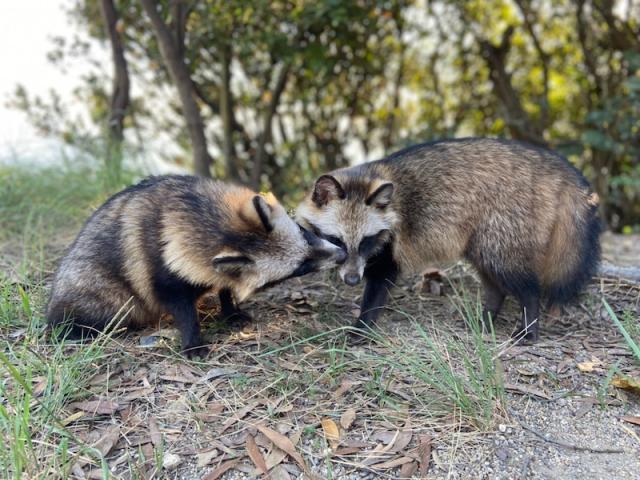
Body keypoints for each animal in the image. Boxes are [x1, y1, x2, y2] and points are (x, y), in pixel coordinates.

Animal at [47, 174, 348, 354]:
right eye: (301, 267)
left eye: (304, 233)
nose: (343, 254)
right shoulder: (159, 268)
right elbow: (180, 305)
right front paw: (192, 338)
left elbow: (225, 283)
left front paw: (229, 307)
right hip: (101, 293)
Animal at [298, 138, 604, 342]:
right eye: (337, 239)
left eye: (364, 241)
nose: (351, 280)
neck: (365, 177)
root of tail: (551, 165)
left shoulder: (389, 246)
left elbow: (379, 284)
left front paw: (363, 324)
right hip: (481, 242)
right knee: (494, 282)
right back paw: (487, 316)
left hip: (504, 233)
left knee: (520, 282)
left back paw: (529, 321)